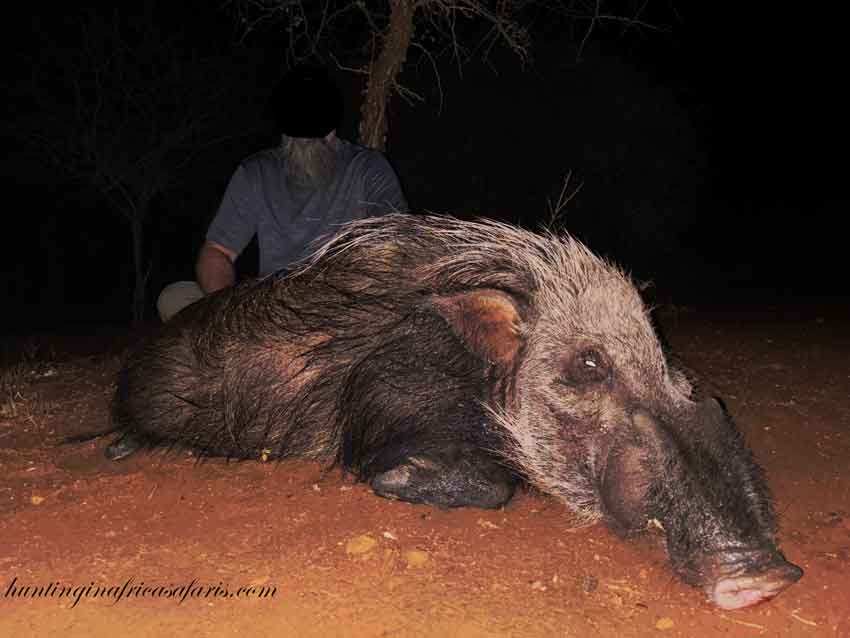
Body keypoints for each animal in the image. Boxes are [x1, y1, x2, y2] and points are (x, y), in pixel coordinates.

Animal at [107, 213, 802, 609]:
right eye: (589, 365)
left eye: (669, 365)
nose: (768, 577)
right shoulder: (389, 405)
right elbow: (491, 485)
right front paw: (393, 481)